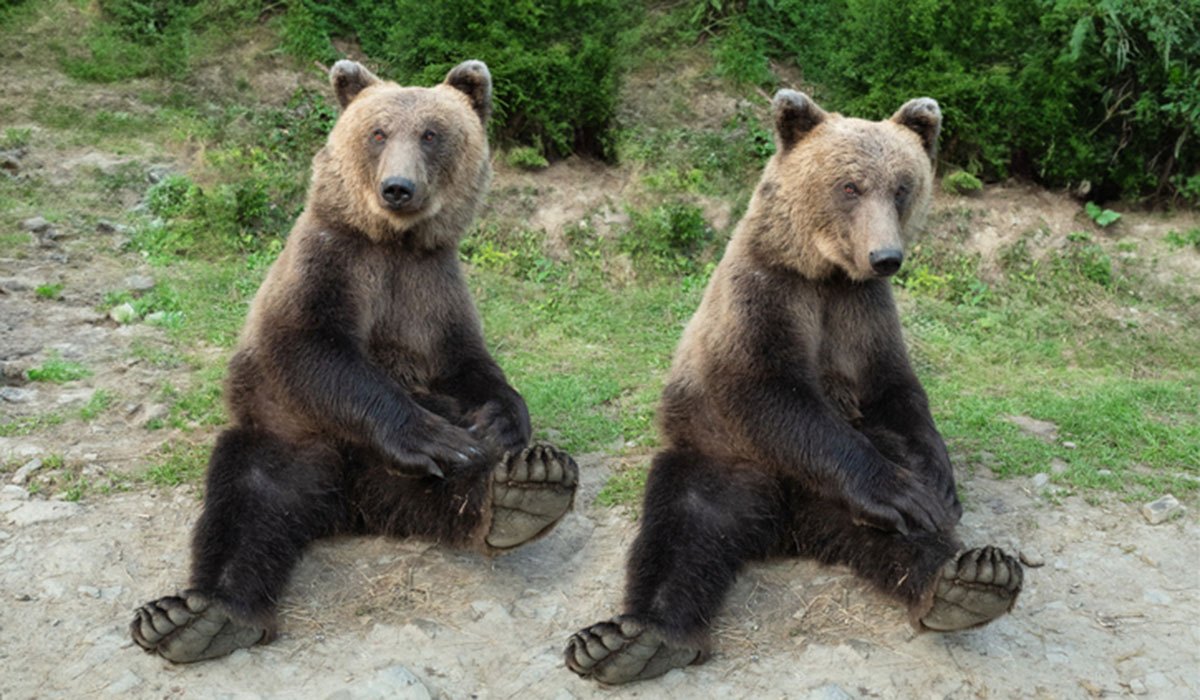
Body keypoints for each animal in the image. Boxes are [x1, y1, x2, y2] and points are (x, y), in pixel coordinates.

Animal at [130, 59, 579, 664]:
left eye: (431, 134)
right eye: (378, 132)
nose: (398, 187)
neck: (393, 242)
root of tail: (353, 506)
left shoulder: (433, 289)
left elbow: (466, 365)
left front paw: (504, 419)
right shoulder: (330, 265)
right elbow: (312, 350)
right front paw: (429, 436)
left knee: (463, 483)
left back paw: (529, 488)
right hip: (287, 438)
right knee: (249, 504)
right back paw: (200, 616)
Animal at [564, 91, 1023, 684]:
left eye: (902, 186)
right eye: (849, 186)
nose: (886, 257)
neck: (824, 272)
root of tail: (790, 526)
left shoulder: (862, 313)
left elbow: (895, 394)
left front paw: (938, 479)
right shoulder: (766, 297)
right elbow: (769, 392)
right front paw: (902, 488)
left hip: (831, 499)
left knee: (908, 535)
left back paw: (968, 581)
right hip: (722, 460)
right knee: (684, 530)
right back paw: (634, 639)